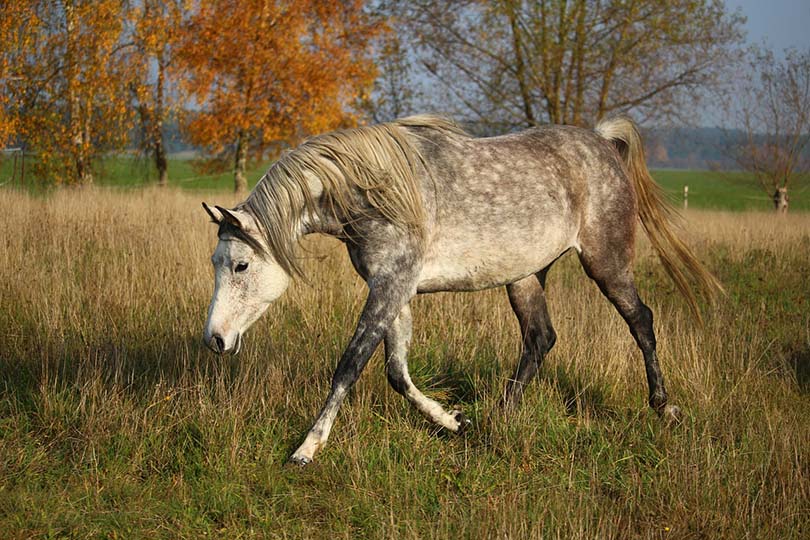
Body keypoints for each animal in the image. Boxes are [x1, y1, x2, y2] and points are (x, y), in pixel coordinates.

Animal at [202, 114, 720, 464]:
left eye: (241, 264)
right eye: (216, 263)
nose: (215, 340)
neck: (378, 190)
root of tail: (603, 143)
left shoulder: (390, 288)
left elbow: (350, 365)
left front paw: (307, 448)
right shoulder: (395, 292)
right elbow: (397, 372)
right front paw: (454, 422)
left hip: (606, 263)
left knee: (640, 322)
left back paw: (663, 406)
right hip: (525, 277)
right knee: (539, 339)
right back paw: (498, 418)